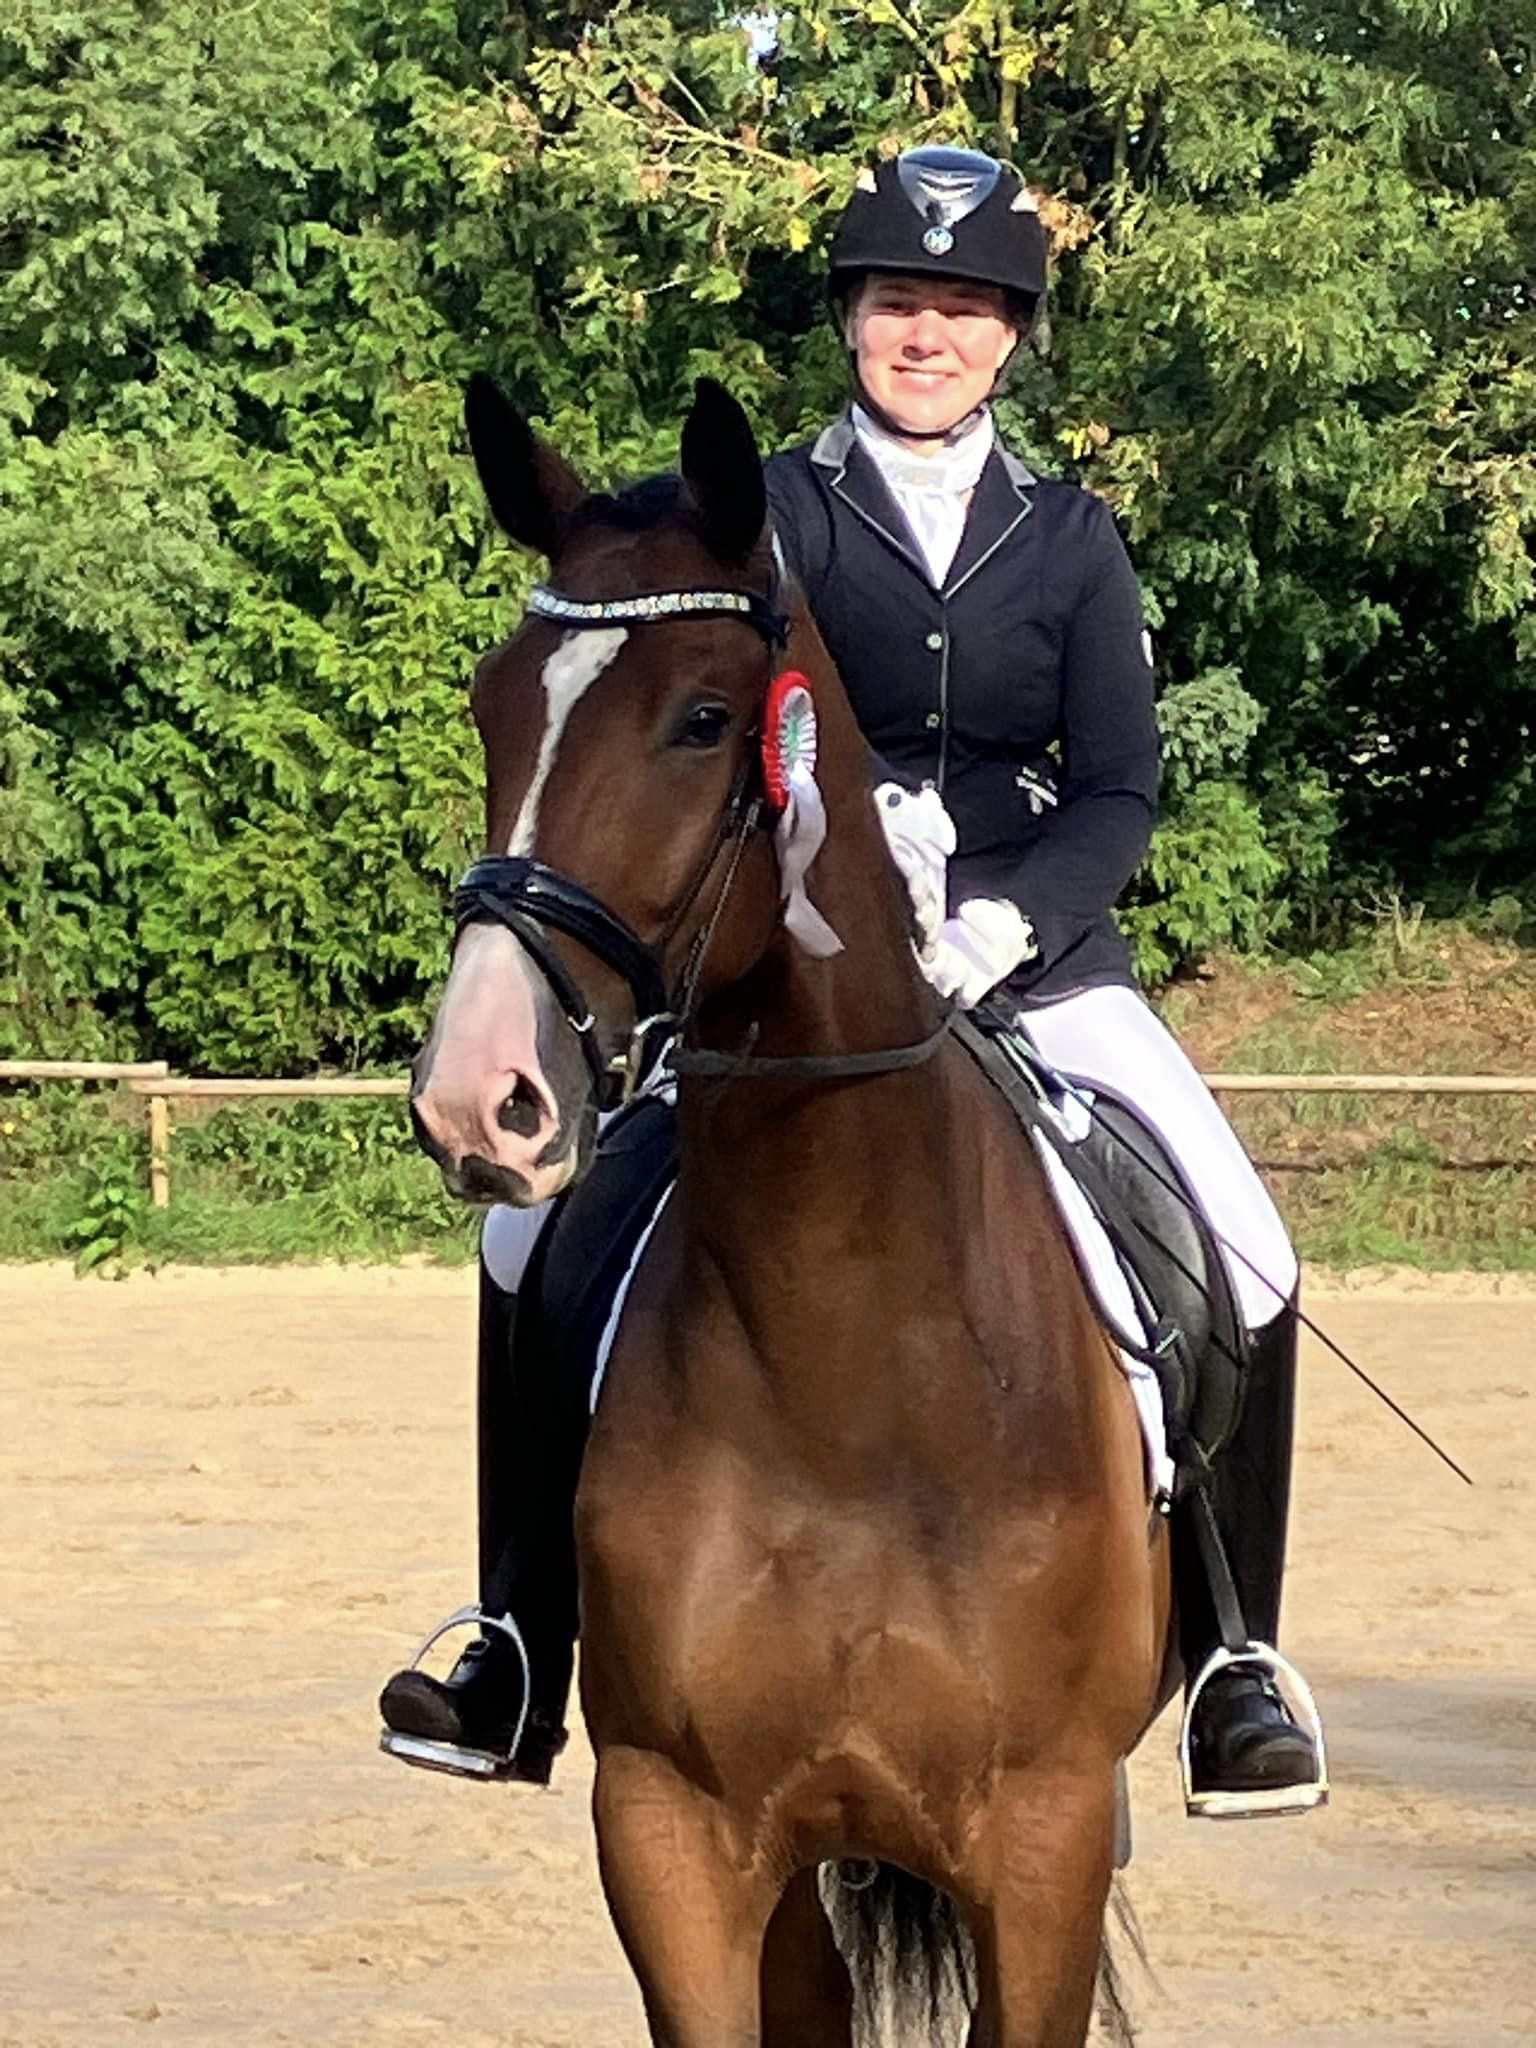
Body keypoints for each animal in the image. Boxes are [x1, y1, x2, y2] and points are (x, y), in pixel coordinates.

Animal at [415, 372, 1171, 2048]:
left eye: (705, 719)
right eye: (493, 707)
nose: (480, 1095)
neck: (851, 1355)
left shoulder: (1044, 1843)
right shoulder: (673, 1833)